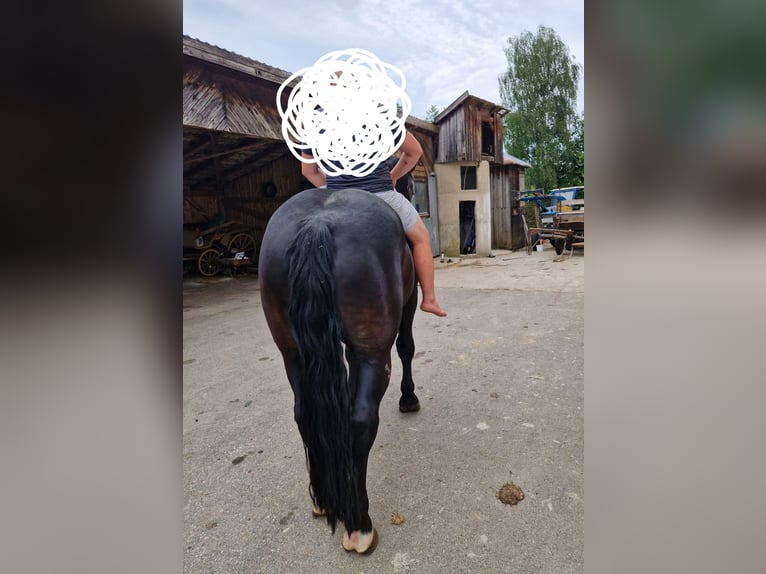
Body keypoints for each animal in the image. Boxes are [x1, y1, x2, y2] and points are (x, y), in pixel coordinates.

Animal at [258, 187, 421, 554]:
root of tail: (318, 224)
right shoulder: (409, 304)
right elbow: (407, 347)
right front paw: (409, 398)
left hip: (293, 353)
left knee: (305, 414)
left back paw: (322, 499)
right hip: (374, 352)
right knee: (361, 420)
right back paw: (359, 524)